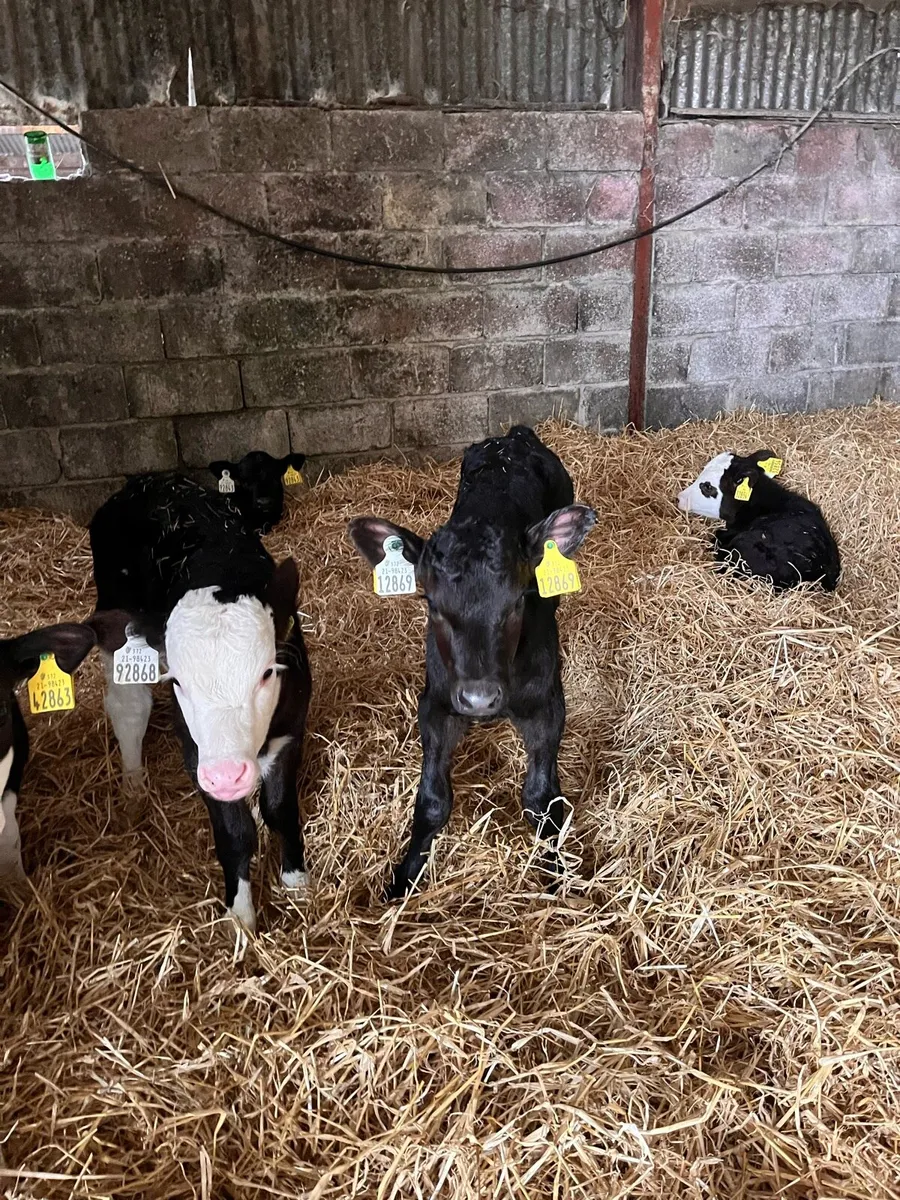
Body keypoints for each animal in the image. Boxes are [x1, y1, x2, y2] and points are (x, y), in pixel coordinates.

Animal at [349, 425, 596, 899]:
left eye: (518, 601)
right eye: (431, 604)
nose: (480, 699)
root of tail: (513, 437)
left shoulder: (547, 705)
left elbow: (542, 800)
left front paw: (556, 875)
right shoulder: (435, 703)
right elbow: (432, 801)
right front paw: (404, 878)